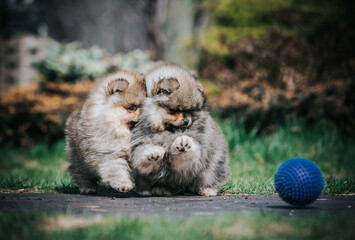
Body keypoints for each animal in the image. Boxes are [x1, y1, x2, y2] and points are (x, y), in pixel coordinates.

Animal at [131, 63, 231, 197]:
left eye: (188, 111)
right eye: (174, 111)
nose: (186, 121)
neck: (168, 133)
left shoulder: (190, 162)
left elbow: (185, 156)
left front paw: (183, 142)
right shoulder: (137, 145)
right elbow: (143, 152)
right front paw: (153, 152)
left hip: (212, 166)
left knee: (212, 176)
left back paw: (207, 190)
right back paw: (156, 189)